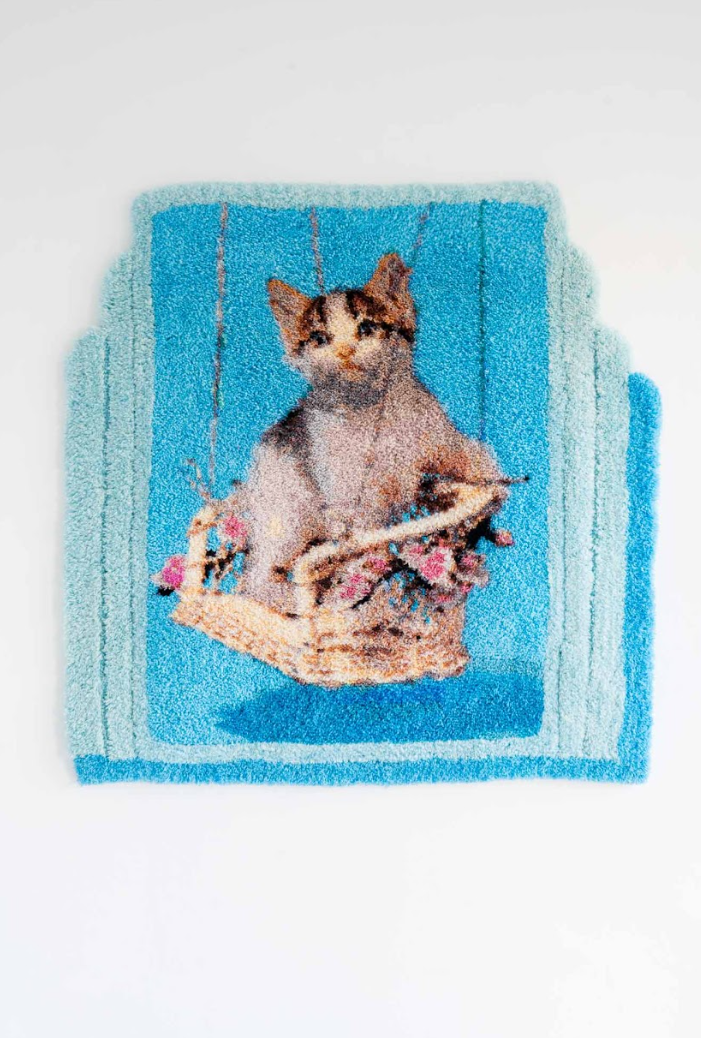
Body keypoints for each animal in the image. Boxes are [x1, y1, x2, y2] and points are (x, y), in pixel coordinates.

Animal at [224, 253, 506, 615]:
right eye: (320, 339)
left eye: (367, 328)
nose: (345, 352)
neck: (369, 411)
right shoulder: (343, 487)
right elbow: (360, 529)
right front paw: (361, 573)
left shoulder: (434, 433)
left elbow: (463, 454)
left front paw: (490, 479)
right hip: (283, 506)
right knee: (258, 573)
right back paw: (290, 599)